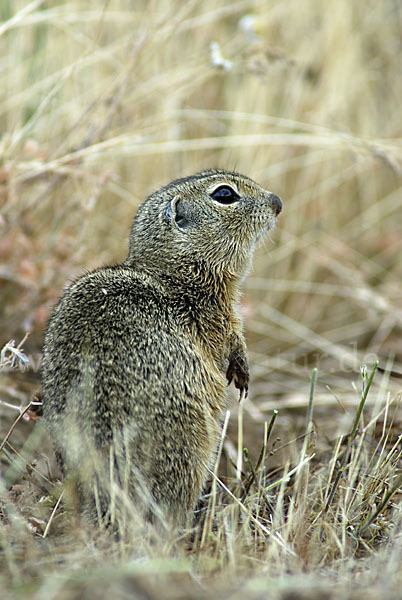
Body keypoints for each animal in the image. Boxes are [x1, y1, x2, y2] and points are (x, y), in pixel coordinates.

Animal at [39, 168, 282, 524]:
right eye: (225, 195)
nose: (277, 202)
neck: (176, 274)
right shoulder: (221, 320)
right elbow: (233, 342)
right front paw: (242, 374)